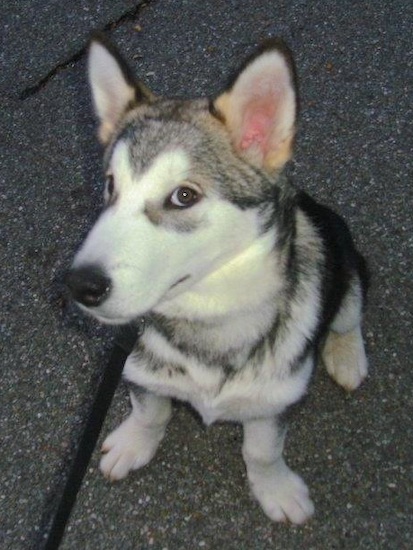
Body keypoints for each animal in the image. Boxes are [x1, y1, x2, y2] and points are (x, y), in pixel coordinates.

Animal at [66, 34, 368, 528]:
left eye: (183, 195)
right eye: (109, 186)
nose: (80, 285)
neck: (209, 316)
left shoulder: (275, 400)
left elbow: (262, 449)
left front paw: (274, 487)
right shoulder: (136, 367)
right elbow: (151, 410)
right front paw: (135, 441)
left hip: (344, 259)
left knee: (348, 314)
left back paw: (346, 357)